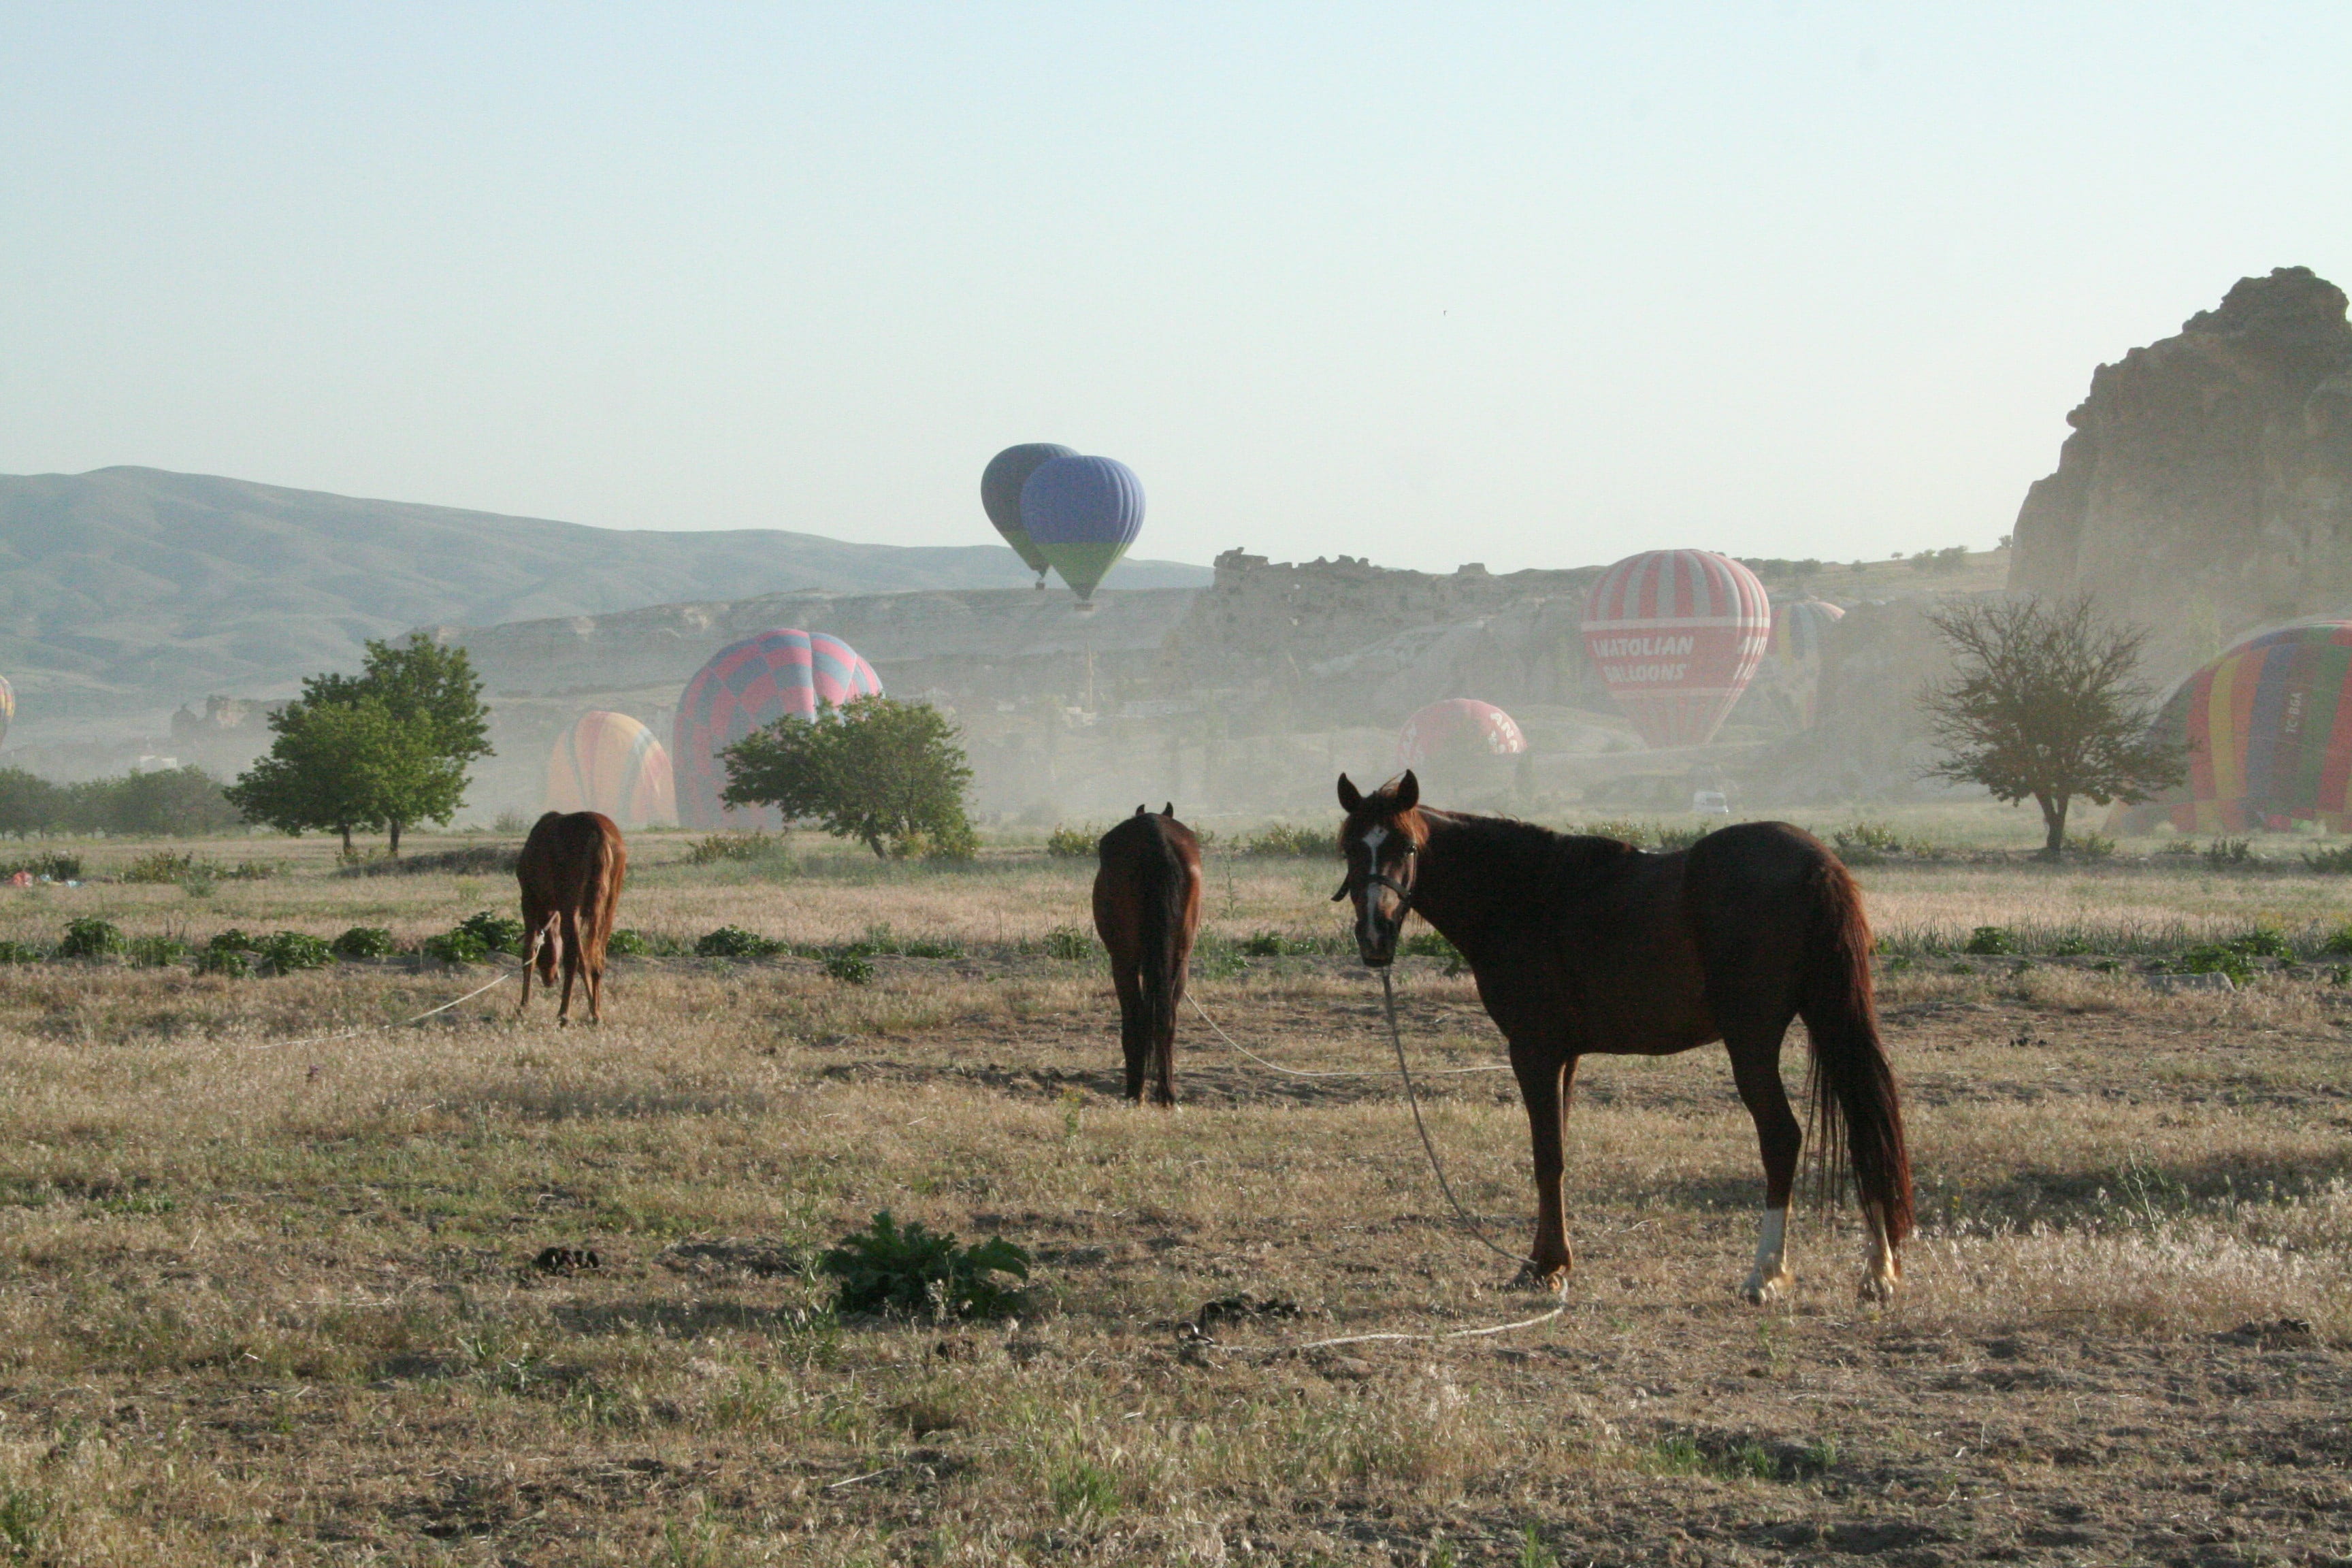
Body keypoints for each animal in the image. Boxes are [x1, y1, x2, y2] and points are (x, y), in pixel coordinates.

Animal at [516, 810, 627, 1026]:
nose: (550, 979)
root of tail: (599, 833)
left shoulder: (529, 899)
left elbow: (529, 952)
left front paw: (523, 1006)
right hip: (610, 903)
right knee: (597, 956)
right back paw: (595, 1011)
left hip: (570, 905)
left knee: (575, 958)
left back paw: (566, 1013)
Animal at [1092, 804, 1204, 1106]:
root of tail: (1156, 835)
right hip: (1179, 959)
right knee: (1167, 1019)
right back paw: (1167, 1093)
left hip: (1124, 960)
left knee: (1135, 1017)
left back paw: (1135, 1090)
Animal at [1333, 771, 1912, 1302]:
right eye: (1350, 847)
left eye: (1406, 846)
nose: (1375, 934)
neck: (1525, 895)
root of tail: (1818, 863)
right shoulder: (1564, 1056)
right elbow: (1556, 1153)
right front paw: (1546, 1260)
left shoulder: (1533, 1052)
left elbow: (1547, 1156)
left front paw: (1545, 1266)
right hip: (1830, 1018)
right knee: (1866, 1126)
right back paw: (1878, 1270)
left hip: (1753, 1039)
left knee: (1782, 1137)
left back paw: (1764, 1273)